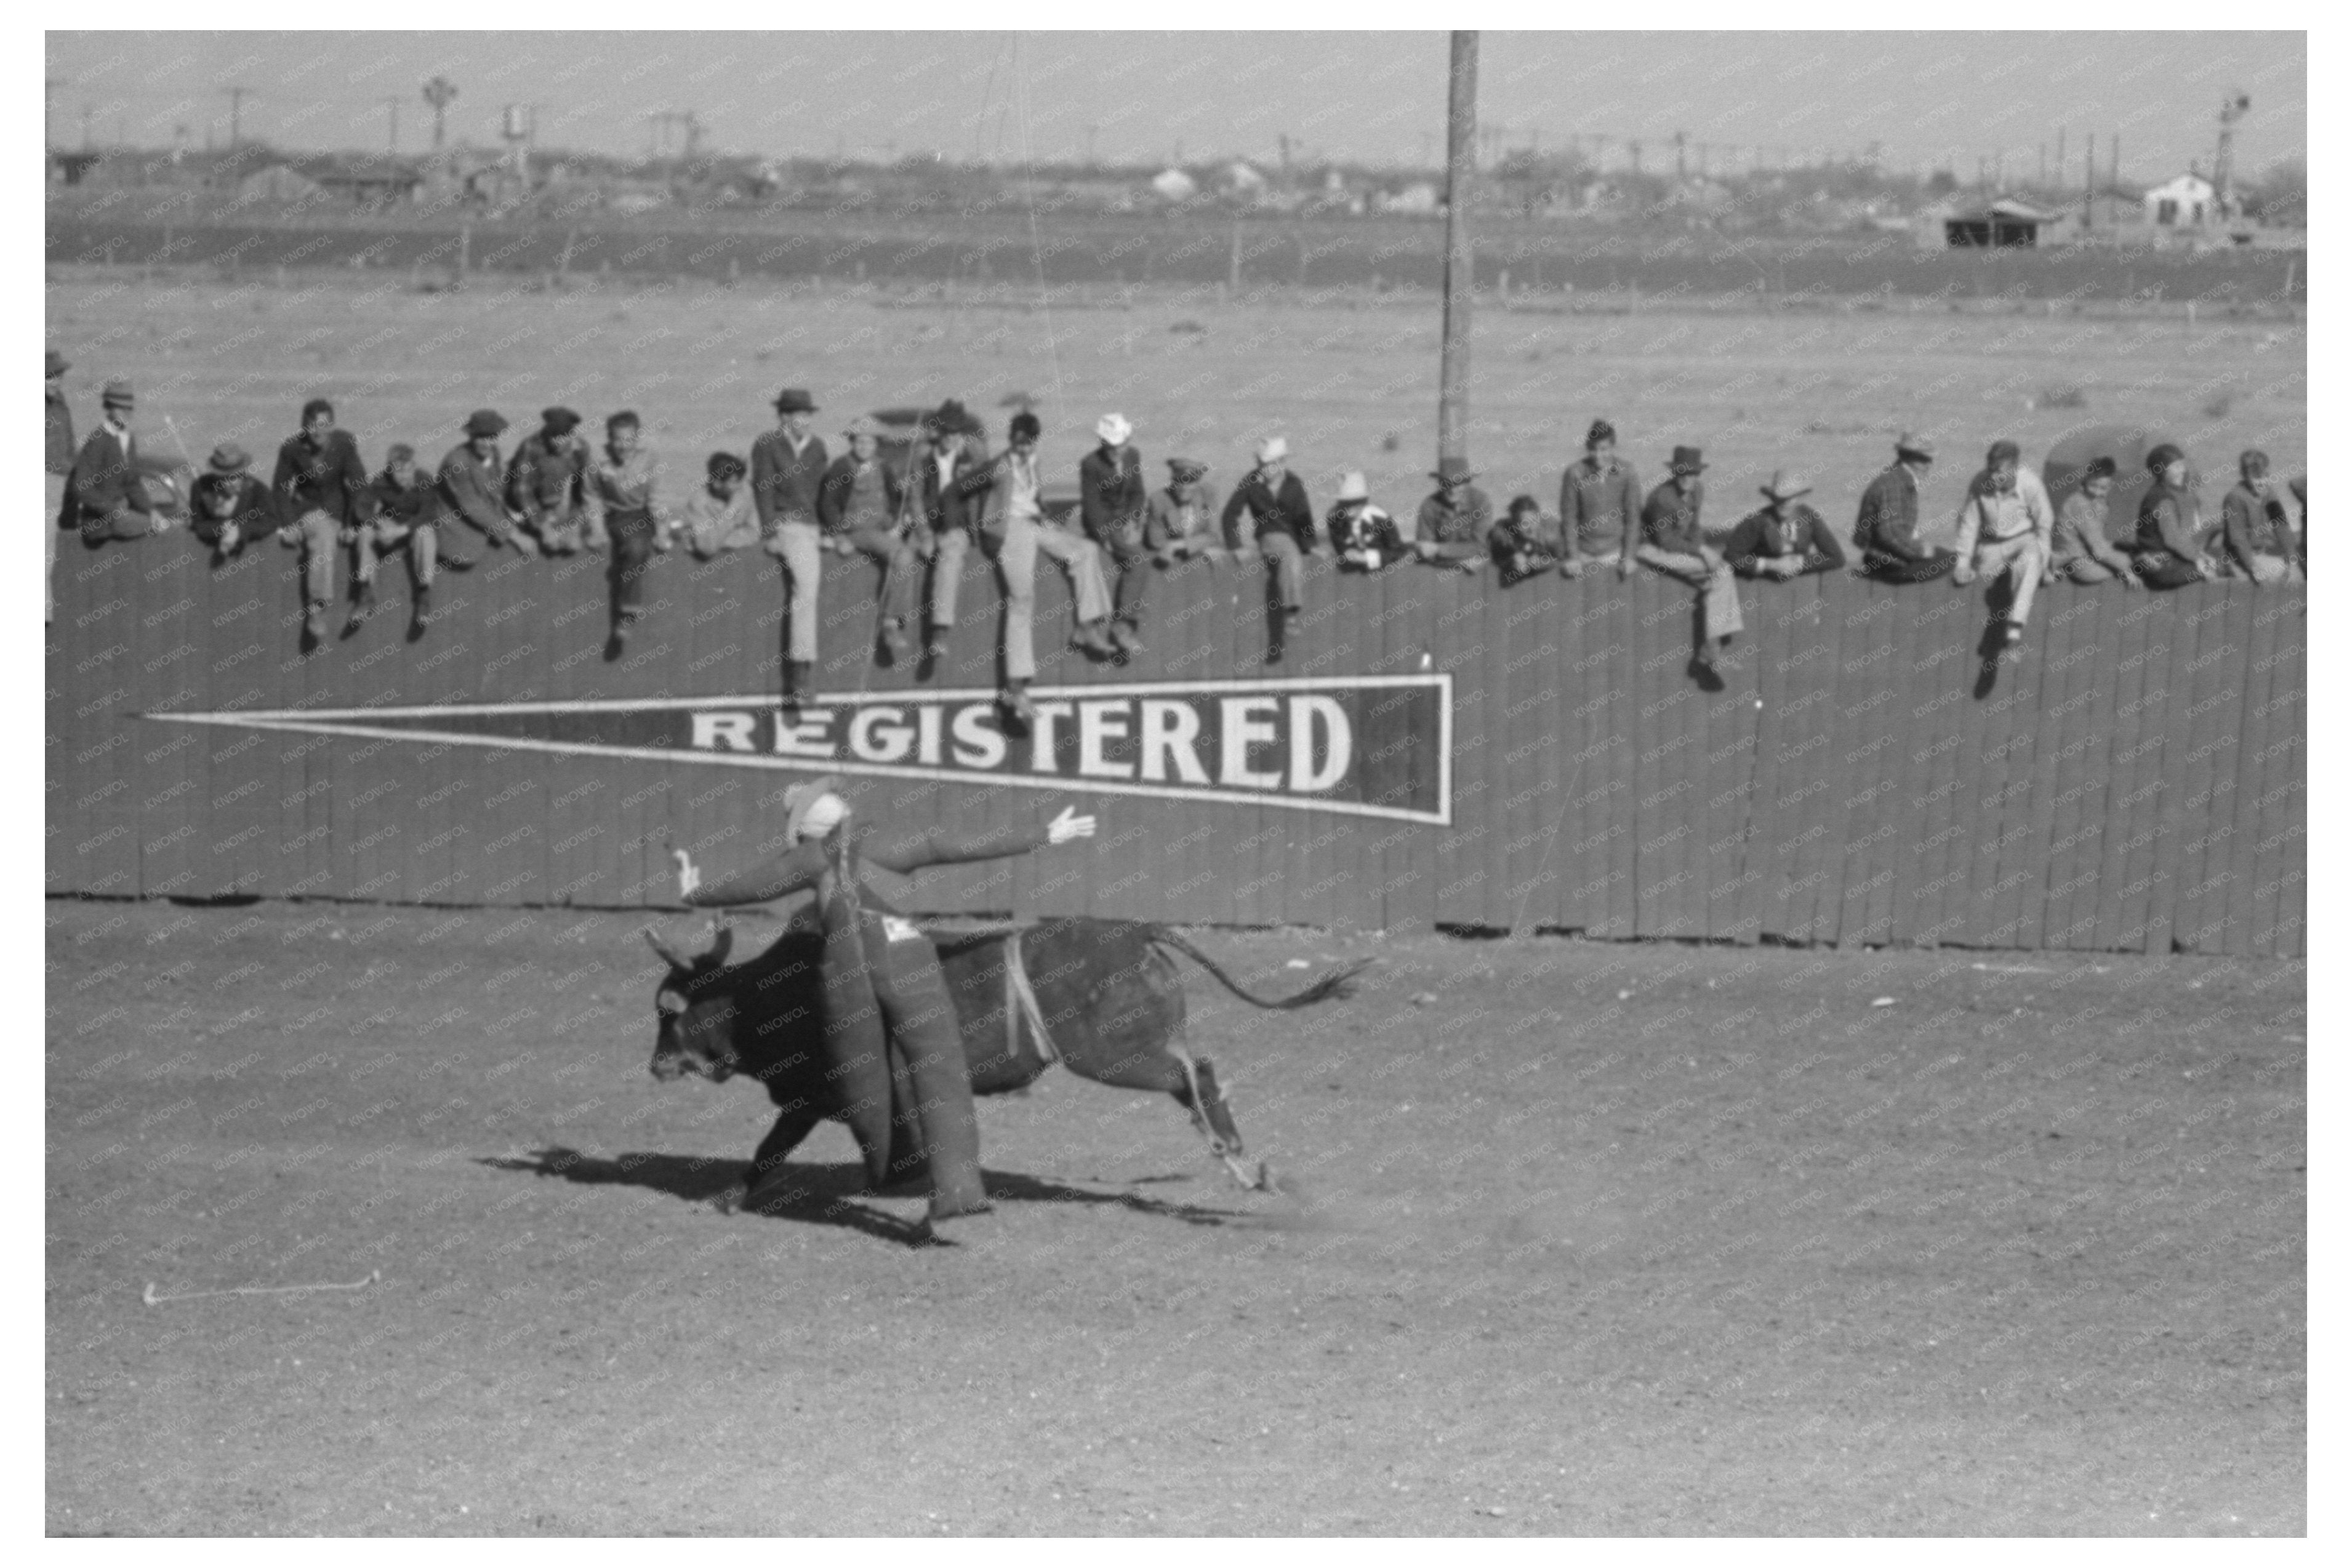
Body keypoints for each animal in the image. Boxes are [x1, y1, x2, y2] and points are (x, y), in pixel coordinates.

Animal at [654, 912, 1373, 1213]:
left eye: (667, 1010)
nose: (656, 1066)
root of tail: (1135, 933)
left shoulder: (817, 1096)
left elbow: (775, 1146)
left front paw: (728, 1196)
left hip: (1110, 1056)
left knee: (1193, 1072)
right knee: (1196, 1075)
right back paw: (1244, 1162)